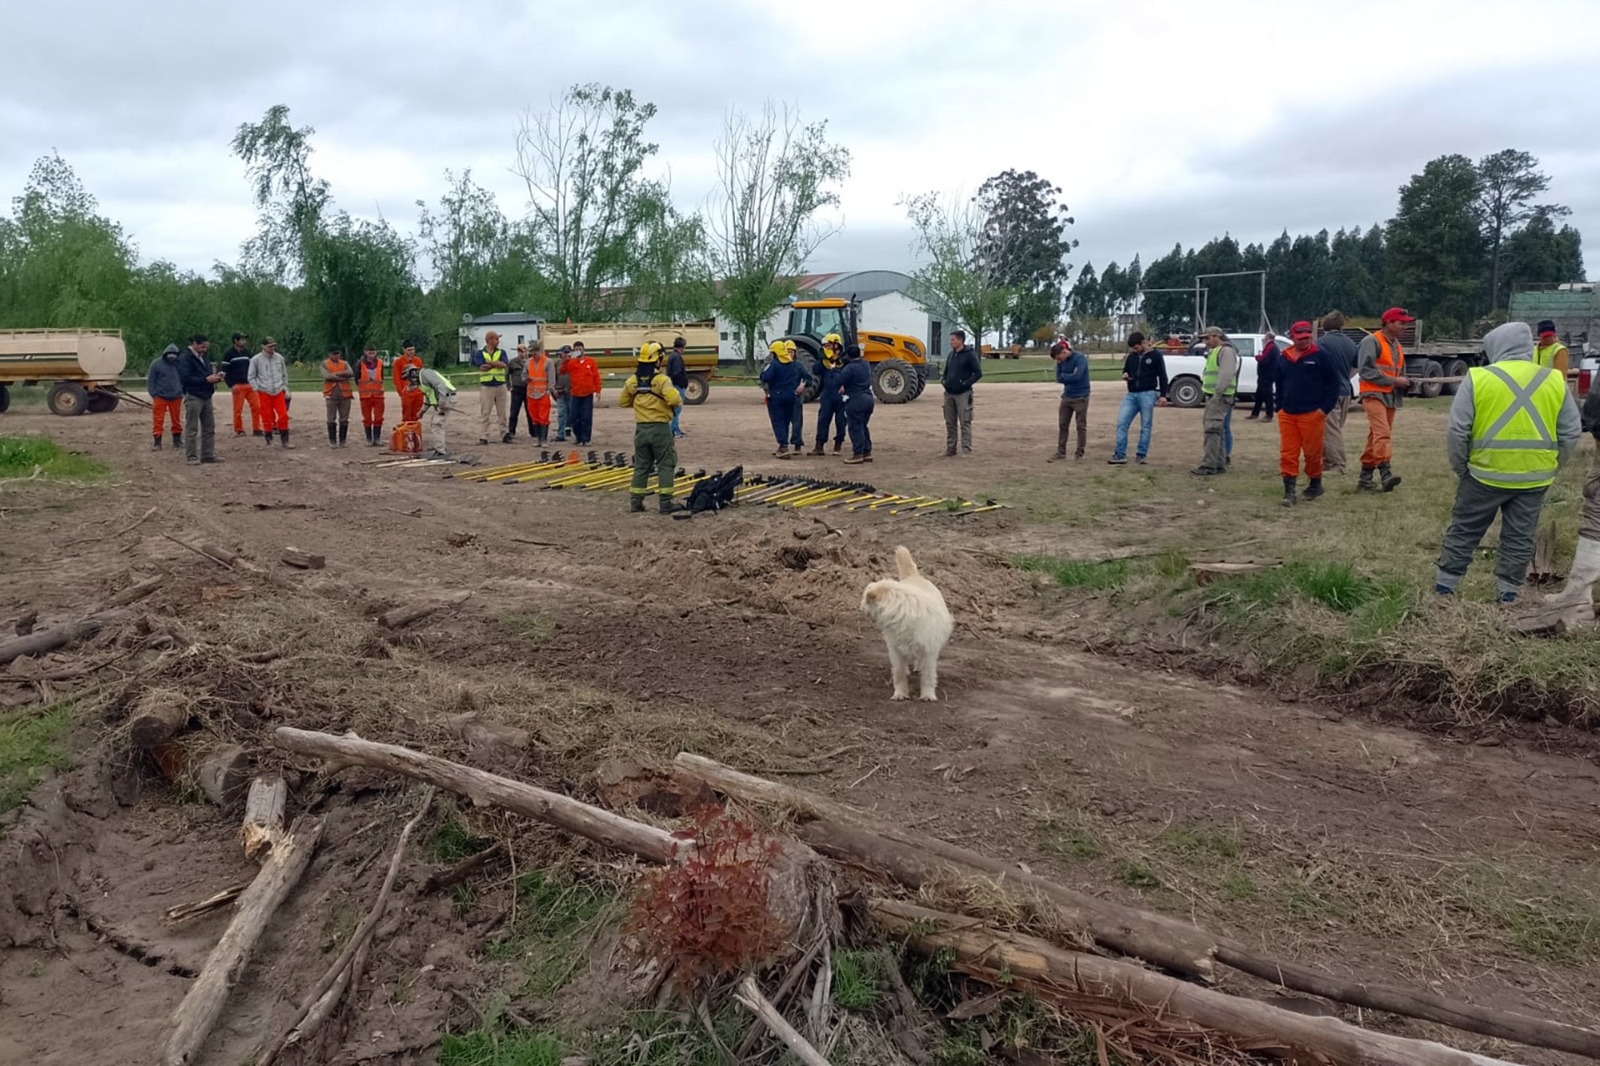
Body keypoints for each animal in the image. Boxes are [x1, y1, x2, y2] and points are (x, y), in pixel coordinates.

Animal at [864, 547, 947, 697]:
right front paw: (900, 694)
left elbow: (928, 677)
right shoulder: (896, 651)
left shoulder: (929, 652)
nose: (860, 607)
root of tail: (913, 576)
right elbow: (899, 674)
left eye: (865, 599)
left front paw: (928, 695)